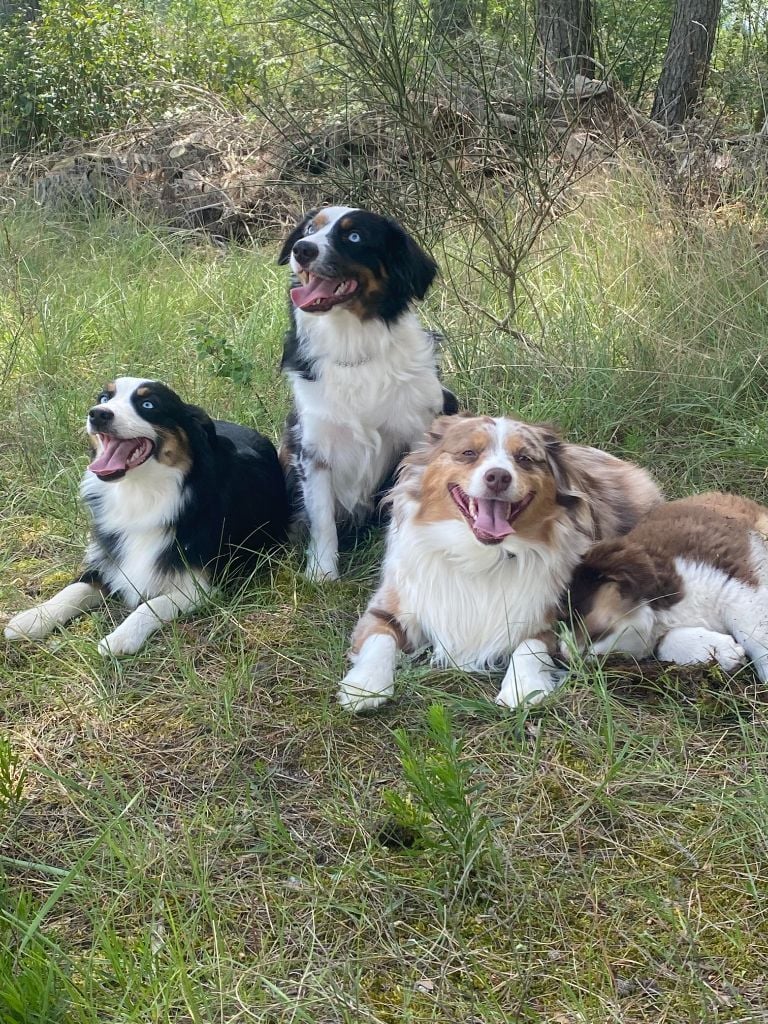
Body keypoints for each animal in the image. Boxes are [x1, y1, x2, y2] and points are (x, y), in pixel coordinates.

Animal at [5, 376, 288, 655]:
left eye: (148, 405)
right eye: (104, 398)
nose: (98, 414)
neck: (141, 492)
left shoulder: (203, 585)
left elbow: (151, 605)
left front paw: (120, 638)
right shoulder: (110, 560)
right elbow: (74, 589)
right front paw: (33, 618)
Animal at [276, 203, 456, 581]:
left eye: (354, 236)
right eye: (309, 230)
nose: (302, 250)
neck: (352, 344)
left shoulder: (417, 436)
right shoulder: (313, 447)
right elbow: (322, 519)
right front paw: (322, 573)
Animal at [335, 411, 663, 708]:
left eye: (525, 458)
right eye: (469, 453)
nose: (498, 477)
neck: (480, 554)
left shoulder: (559, 616)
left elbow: (530, 645)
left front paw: (523, 687)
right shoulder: (390, 603)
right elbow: (380, 638)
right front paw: (365, 686)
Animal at [561, 489, 768, 679]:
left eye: (571, 611)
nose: (561, 658)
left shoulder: (733, 582)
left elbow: (754, 632)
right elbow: (665, 643)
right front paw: (723, 651)